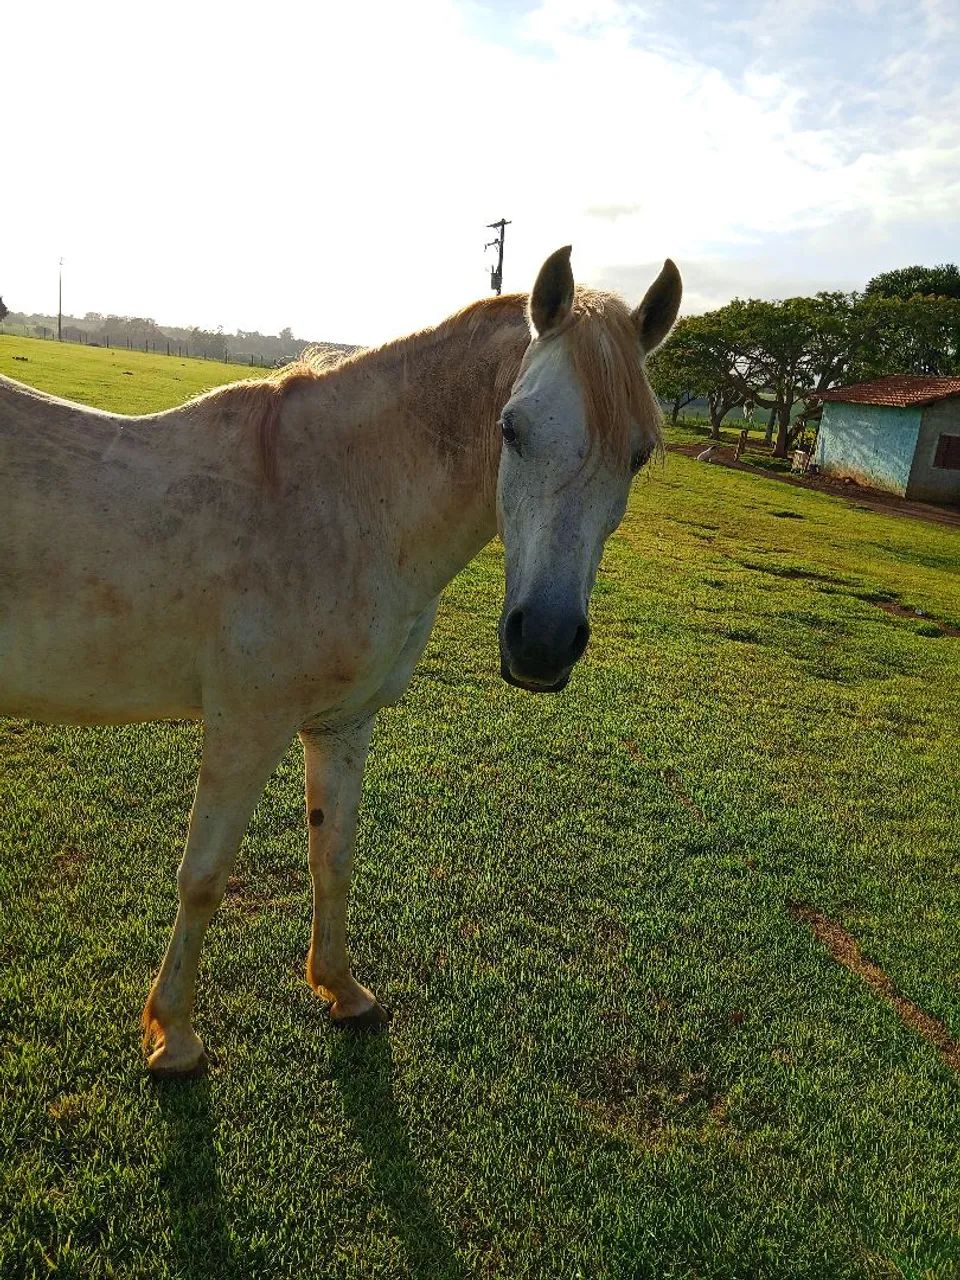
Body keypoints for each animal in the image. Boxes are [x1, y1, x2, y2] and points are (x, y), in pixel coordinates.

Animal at [0, 247, 681, 1074]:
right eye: (511, 429)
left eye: (639, 454)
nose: (542, 642)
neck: (331, 505)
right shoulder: (245, 726)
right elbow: (204, 878)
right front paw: (176, 1036)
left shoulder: (343, 725)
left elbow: (335, 856)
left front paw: (341, 989)